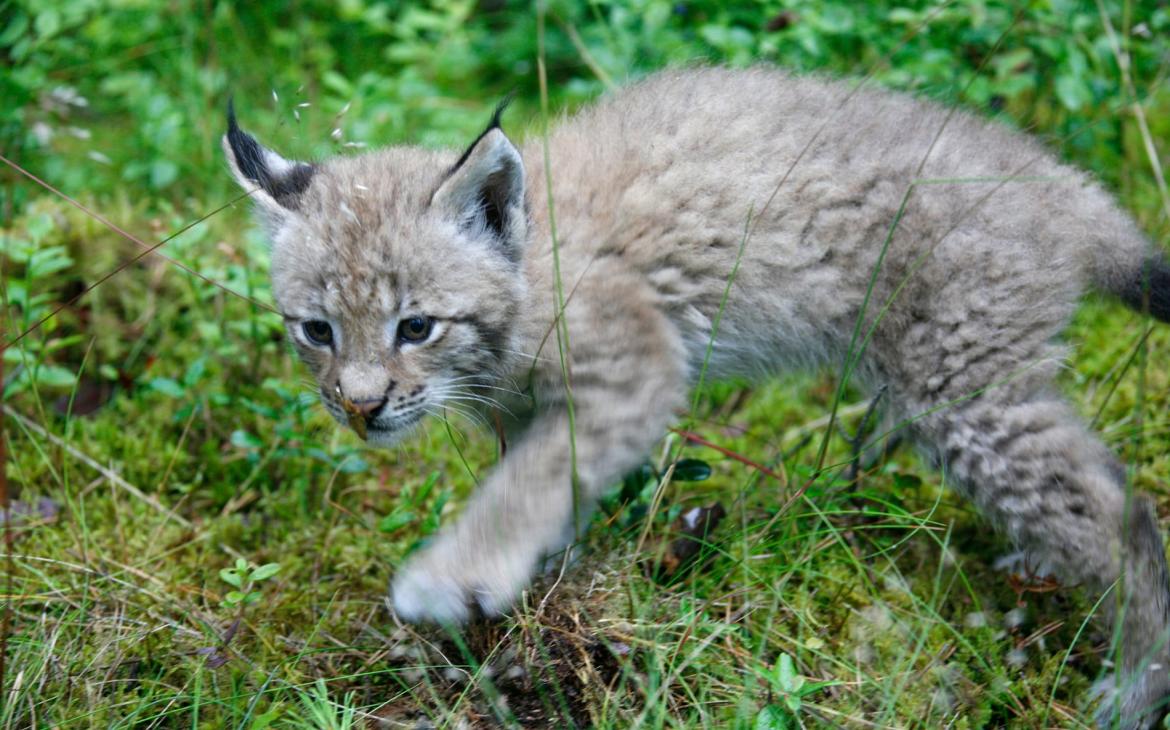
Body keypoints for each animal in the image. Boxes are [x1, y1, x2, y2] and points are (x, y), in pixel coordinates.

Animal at [225, 66, 1170, 725]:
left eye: (416, 326)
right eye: (317, 330)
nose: (358, 406)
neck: (527, 268)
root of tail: (1053, 177)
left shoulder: (640, 366)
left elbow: (528, 482)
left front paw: (453, 576)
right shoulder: (533, 410)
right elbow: (546, 484)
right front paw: (542, 597)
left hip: (959, 384)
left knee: (1126, 514)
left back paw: (1133, 687)